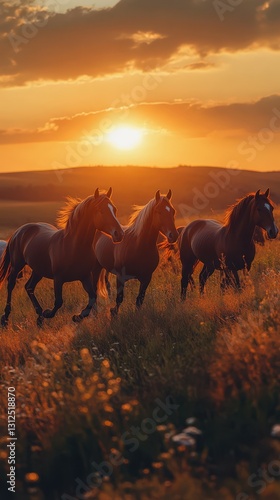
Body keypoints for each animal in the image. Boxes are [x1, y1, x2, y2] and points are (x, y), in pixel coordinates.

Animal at [0, 188, 123, 328]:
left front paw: (77, 317)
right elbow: (59, 301)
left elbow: (92, 297)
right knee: (11, 285)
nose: (119, 234)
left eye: (114, 209)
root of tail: (19, 231)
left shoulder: (85, 277)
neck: (72, 246)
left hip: (38, 270)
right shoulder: (58, 278)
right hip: (17, 265)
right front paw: (48, 313)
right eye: (101, 210)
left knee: (29, 287)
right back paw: (6, 318)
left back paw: (39, 316)